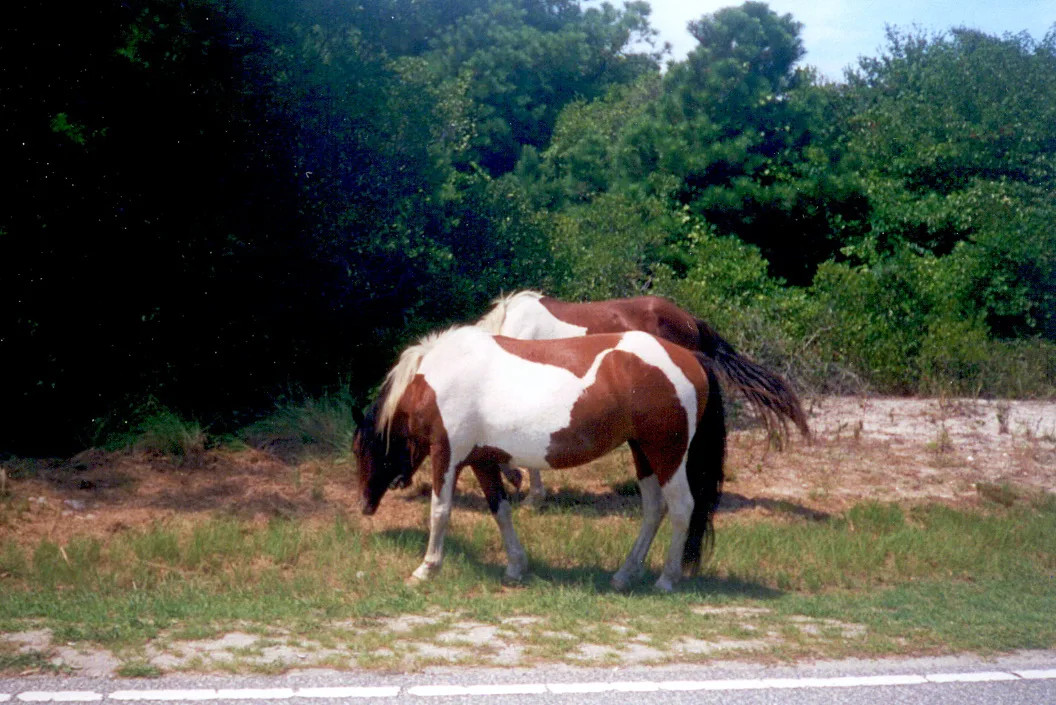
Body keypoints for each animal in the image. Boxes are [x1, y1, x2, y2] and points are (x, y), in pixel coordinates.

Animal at [352, 325, 725, 592]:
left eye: (358, 449)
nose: (364, 506)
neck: (438, 377)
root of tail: (690, 358)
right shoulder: (482, 461)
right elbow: (501, 511)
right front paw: (516, 567)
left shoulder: (447, 454)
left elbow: (440, 511)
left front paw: (426, 568)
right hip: (643, 453)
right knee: (653, 510)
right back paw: (625, 574)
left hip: (666, 454)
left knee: (681, 508)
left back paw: (667, 579)